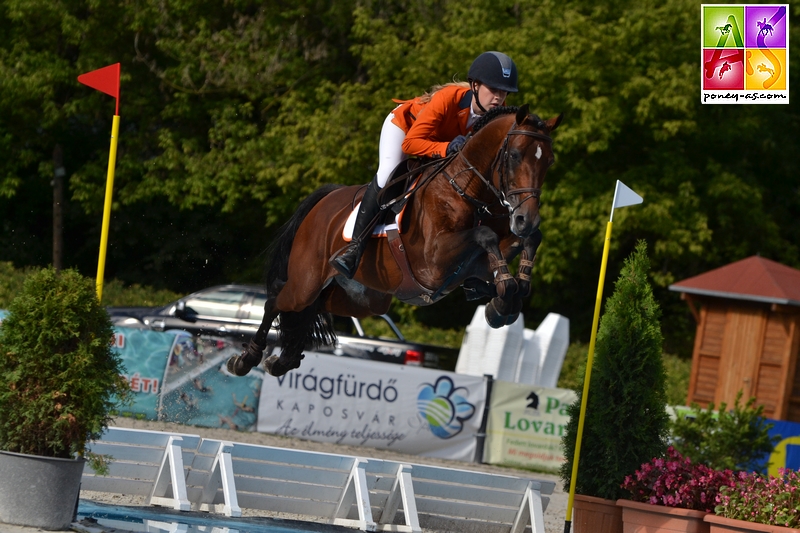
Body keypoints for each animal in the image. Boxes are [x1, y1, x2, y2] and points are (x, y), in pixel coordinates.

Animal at [227, 105, 564, 378]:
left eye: (548, 162)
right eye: (514, 156)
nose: (525, 219)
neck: (465, 189)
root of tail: (325, 201)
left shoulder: (470, 264)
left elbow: (521, 243)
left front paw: (507, 296)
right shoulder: (433, 261)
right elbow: (486, 235)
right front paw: (504, 292)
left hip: (363, 298)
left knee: (313, 308)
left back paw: (283, 360)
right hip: (307, 281)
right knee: (276, 301)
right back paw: (246, 359)